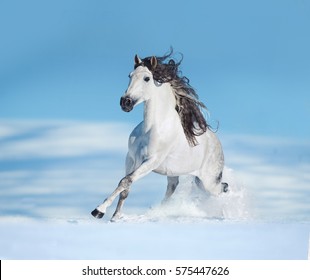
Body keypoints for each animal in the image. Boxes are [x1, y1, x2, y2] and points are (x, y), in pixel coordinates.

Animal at [91, 50, 229, 221]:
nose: (125, 102)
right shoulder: (131, 159)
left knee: (222, 189)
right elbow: (125, 188)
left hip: (208, 182)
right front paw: (115, 217)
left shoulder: (151, 161)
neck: (152, 128)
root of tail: (218, 144)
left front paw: (99, 210)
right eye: (130, 75)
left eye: (147, 78)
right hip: (178, 175)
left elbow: (125, 181)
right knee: (173, 188)